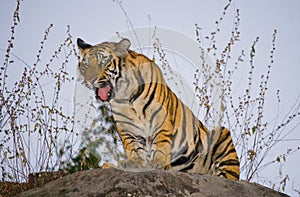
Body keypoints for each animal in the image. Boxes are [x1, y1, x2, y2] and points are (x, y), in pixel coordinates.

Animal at [76, 37, 240, 181]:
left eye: (103, 61)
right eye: (86, 65)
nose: (90, 80)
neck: (124, 95)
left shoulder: (161, 120)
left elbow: (161, 143)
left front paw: (158, 163)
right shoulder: (126, 128)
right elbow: (133, 147)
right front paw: (132, 163)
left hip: (222, 137)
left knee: (229, 176)